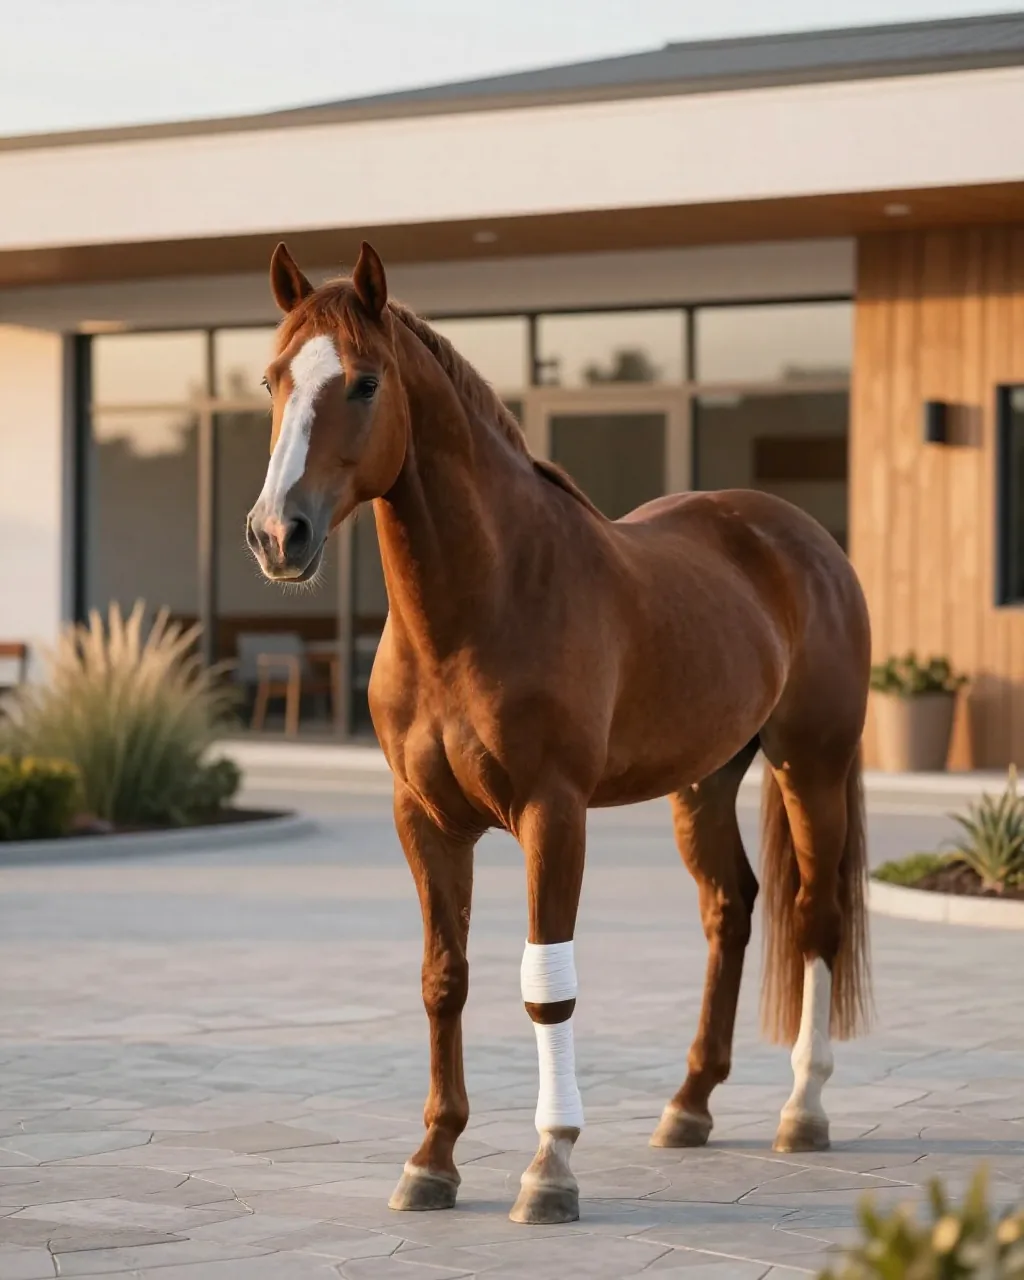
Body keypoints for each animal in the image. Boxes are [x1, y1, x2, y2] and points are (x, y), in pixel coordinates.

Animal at [246, 240, 872, 1227]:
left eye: (363, 382)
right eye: (273, 378)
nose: (279, 534)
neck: (483, 603)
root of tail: (805, 539)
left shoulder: (554, 812)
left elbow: (547, 984)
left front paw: (551, 1167)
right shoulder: (424, 819)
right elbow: (444, 975)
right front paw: (432, 1161)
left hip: (809, 765)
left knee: (815, 917)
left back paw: (802, 1111)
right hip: (704, 781)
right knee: (730, 907)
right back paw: (689, 1105)